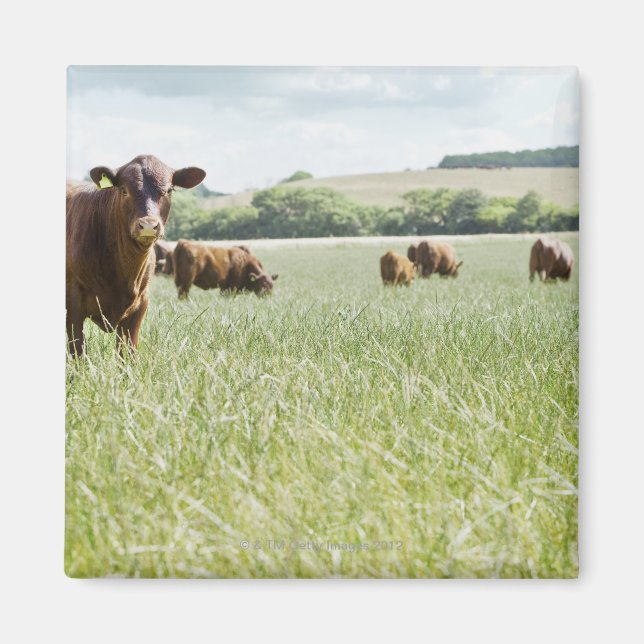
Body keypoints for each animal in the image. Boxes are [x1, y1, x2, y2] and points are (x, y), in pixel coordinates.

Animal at [66, 155, 206, 356]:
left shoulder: (140, 304)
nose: (148, 225)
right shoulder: (73, 303)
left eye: (169, 190)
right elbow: (78, 350)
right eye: (124, 190)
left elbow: (127, 352)